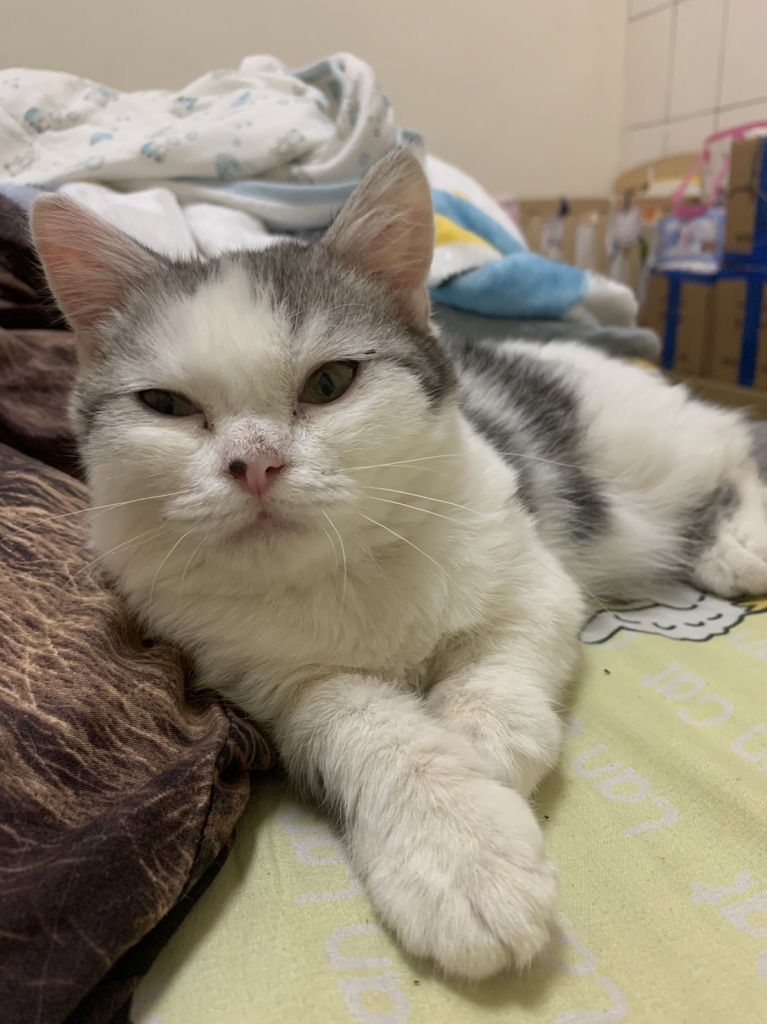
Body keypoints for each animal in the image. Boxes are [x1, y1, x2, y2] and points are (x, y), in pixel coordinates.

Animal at [31, 149, 767, 980]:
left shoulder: (531, 571)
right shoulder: (262, 683)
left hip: (650, 451)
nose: (254, 463)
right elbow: (365, 724)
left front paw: (483, 735)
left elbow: (505, 647)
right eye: (166, 404)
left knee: (735, 447)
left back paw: (741, 541)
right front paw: (459, 853)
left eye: (328, 383)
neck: (343, 570)